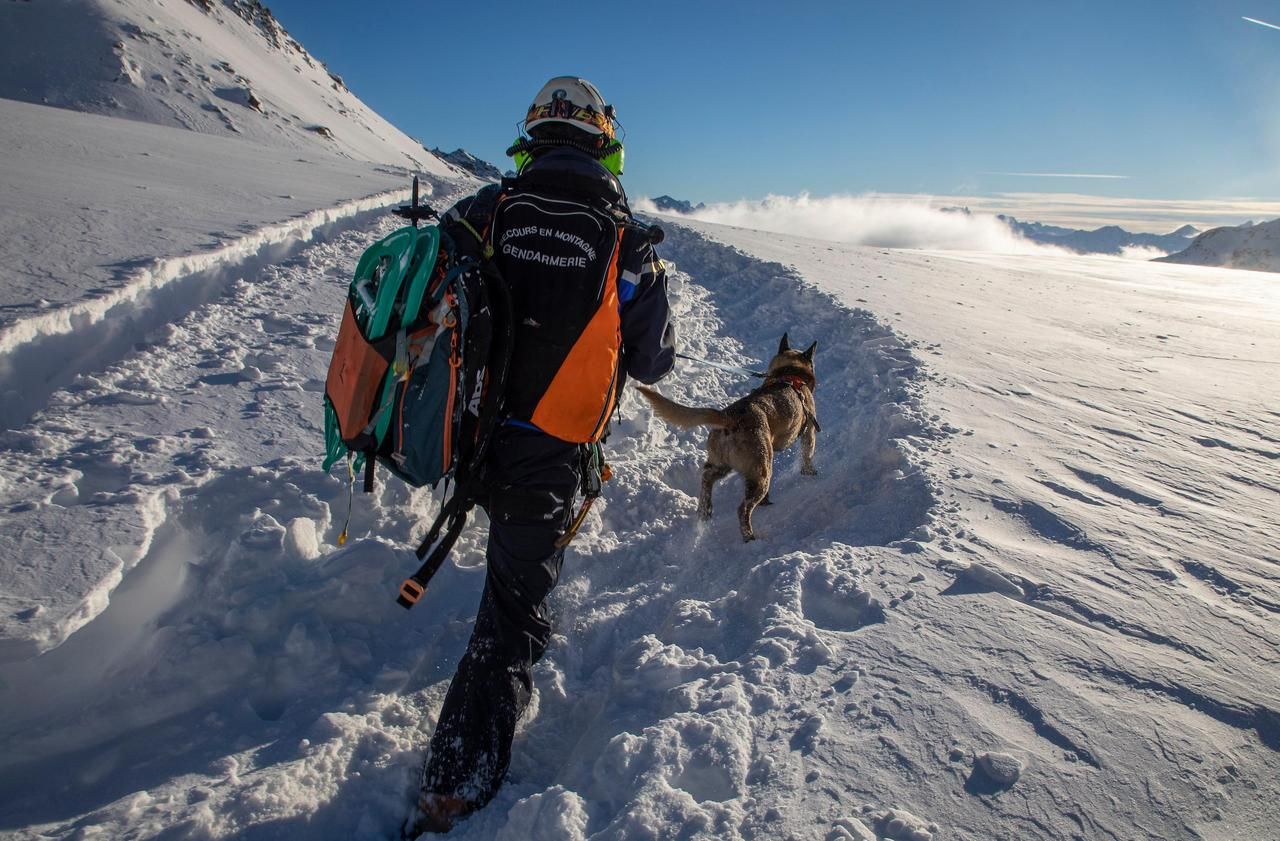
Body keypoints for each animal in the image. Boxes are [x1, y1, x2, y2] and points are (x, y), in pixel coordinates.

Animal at [632, 330, 814, 540]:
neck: (788, 373)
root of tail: (730, 418)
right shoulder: (810, 429)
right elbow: (808, 453)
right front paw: (810, 472)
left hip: (722, 462)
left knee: (707, 477)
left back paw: (705, 509)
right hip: (760, 470)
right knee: (743, 508)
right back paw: (749, 536)